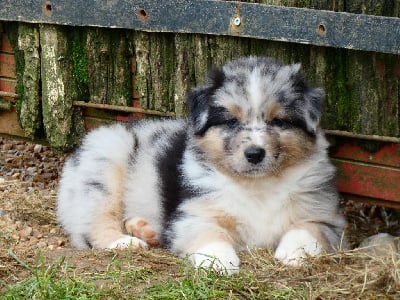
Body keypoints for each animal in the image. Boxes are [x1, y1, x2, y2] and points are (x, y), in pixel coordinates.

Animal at [57, 56, 346, 274]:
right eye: (231, 121)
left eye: (279, 121)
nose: (254, 154)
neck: (256, 185)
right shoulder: (193, 214)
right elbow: (209, 234)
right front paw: (220, 262)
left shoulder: (327, 216)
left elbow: (307, 229)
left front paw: (293, 253)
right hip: (105, 164)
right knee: (94, 221)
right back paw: (125, 243)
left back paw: (145, 230)